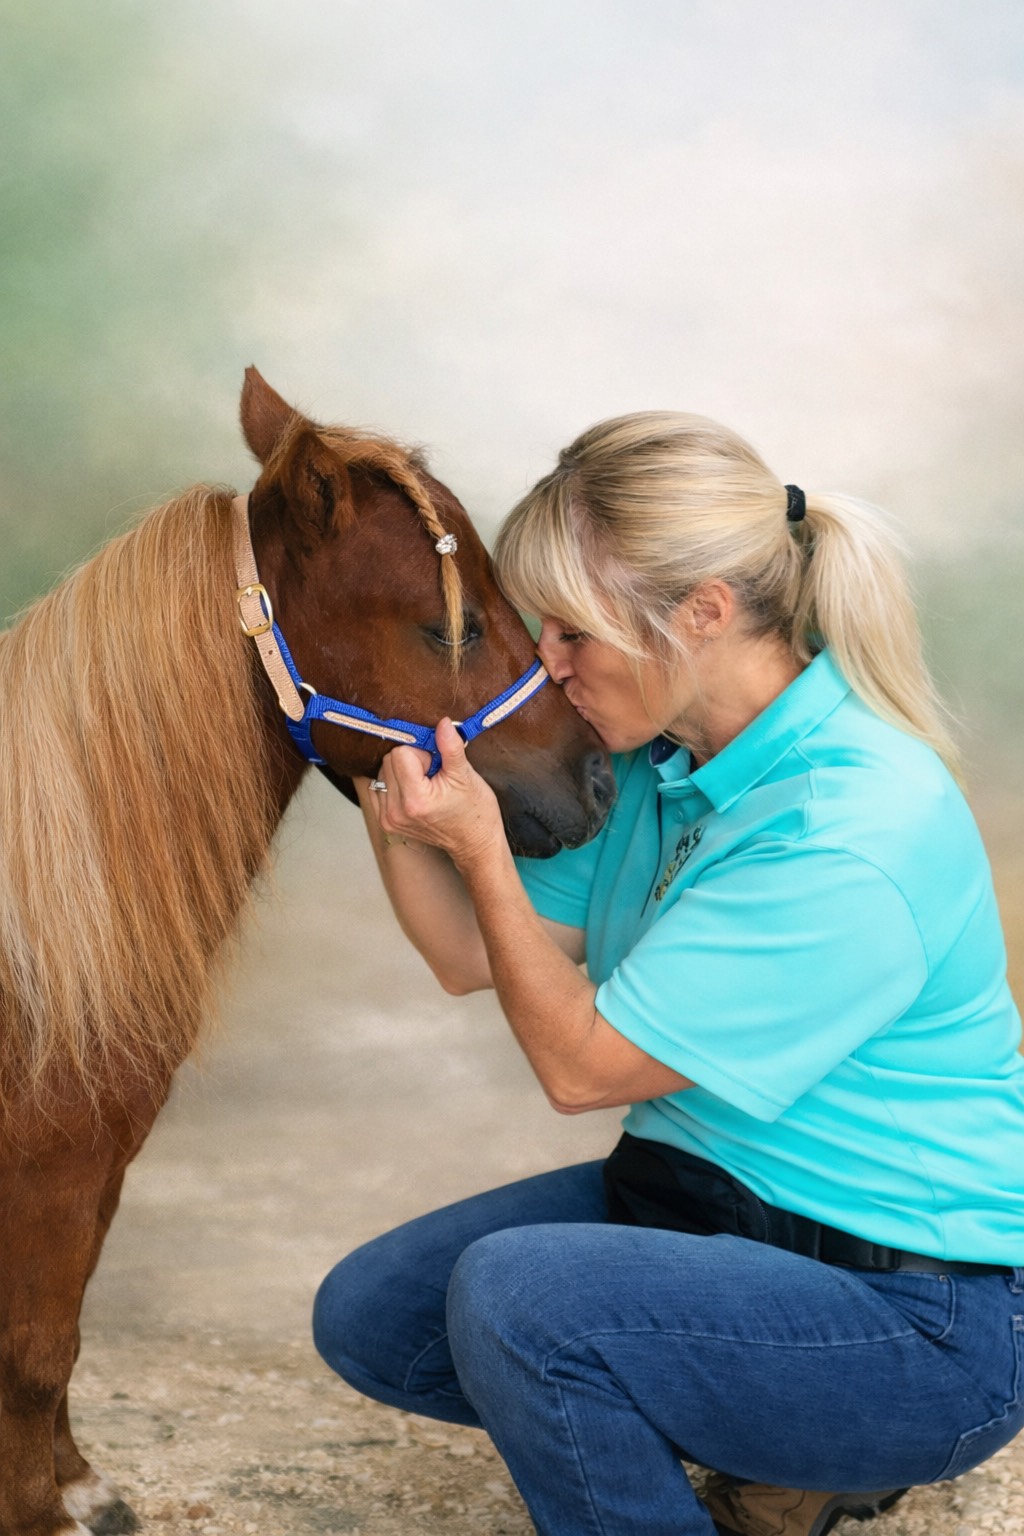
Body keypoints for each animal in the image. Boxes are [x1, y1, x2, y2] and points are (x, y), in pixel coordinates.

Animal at [0, 367, 615, 1536]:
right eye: (451, 627)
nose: (598, 781)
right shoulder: (52, 1157)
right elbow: (32, 1347)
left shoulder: (97, 1154)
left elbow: (62, 1330)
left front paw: (78, 1486)